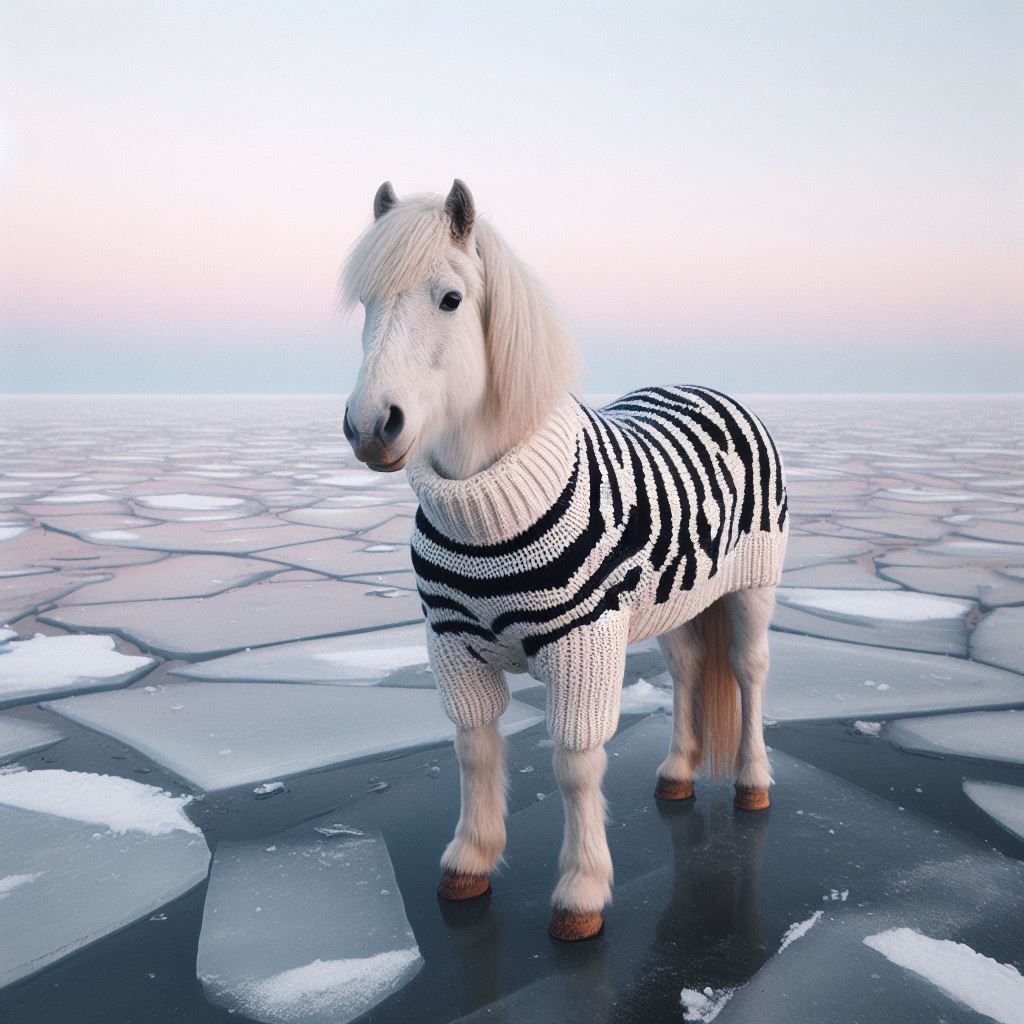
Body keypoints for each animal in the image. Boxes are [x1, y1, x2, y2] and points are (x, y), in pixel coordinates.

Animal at [341, 180, 788, 942]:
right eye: (367, 303)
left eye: (450, 298)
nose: (372, 426)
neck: (485, 505)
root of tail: (711, 390)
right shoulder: (451, 645)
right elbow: (473, 747)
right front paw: (470, 859)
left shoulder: (585, 642)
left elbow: (576, 765)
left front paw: (581, 892)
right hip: (678, 600)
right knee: (689, 668)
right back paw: (677, 771)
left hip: (752, 587)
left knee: (749, 672)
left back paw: (753, 782)